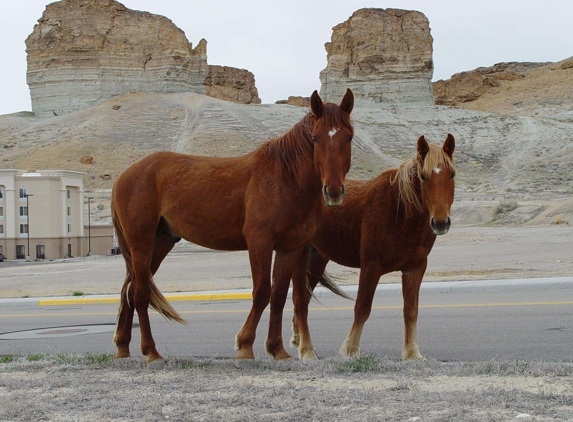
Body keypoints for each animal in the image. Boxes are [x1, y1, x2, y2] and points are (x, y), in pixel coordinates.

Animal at [111, 90, 354, 368]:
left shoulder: (291, 248)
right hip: (141, 243)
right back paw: (152, 353)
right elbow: (262, 292)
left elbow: (279, 295)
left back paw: (123, 347)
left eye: (349, 136)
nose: (333, 191)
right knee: (140, 292)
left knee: (129, 290)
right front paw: (245, 347)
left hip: (159, 244)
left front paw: (277, 350)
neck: (285, 179)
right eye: (315, 138)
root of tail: (124, 176)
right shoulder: (260, 242)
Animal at [290, 134, 456, 360]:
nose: (440, 222)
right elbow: (362, 308)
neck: (400, 213)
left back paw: (298, 340)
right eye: (423, 176)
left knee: (304, 299)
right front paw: (350, 349)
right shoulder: (371, 267)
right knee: (300, 301)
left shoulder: (415, 269)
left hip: (317, 260)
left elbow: (411, 311)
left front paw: (412, 352)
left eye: (452, 174)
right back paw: (307, 350)